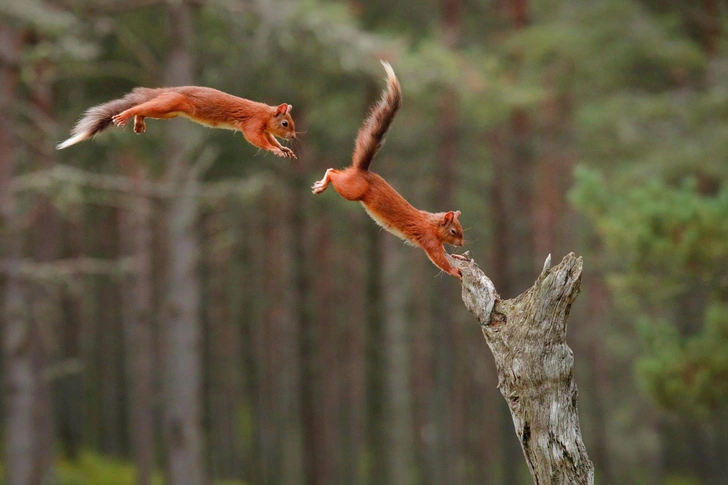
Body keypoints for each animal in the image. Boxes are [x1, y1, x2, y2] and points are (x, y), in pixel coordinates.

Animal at [55, 85, 298, 157]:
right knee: (138, 107)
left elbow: (269, 139)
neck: (266, 114)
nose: (294, 137)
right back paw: (126, 115)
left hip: (169, 112)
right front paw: (276, 150)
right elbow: (257, 139)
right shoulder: (253, 123)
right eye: (286, 123)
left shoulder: (264, 129)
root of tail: (166, 90)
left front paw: (284, 149)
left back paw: (139, 122)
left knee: (144, 111)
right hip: (168, 104)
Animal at [310, 62, 464, 278]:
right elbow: (439, 259)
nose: (462, 244)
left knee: (335, 170)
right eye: (453, 231)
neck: (431, 223)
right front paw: (455, 271)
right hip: (352, 190)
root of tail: (362, 170)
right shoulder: (429, 240)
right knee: (332, 172)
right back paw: (322, 185)